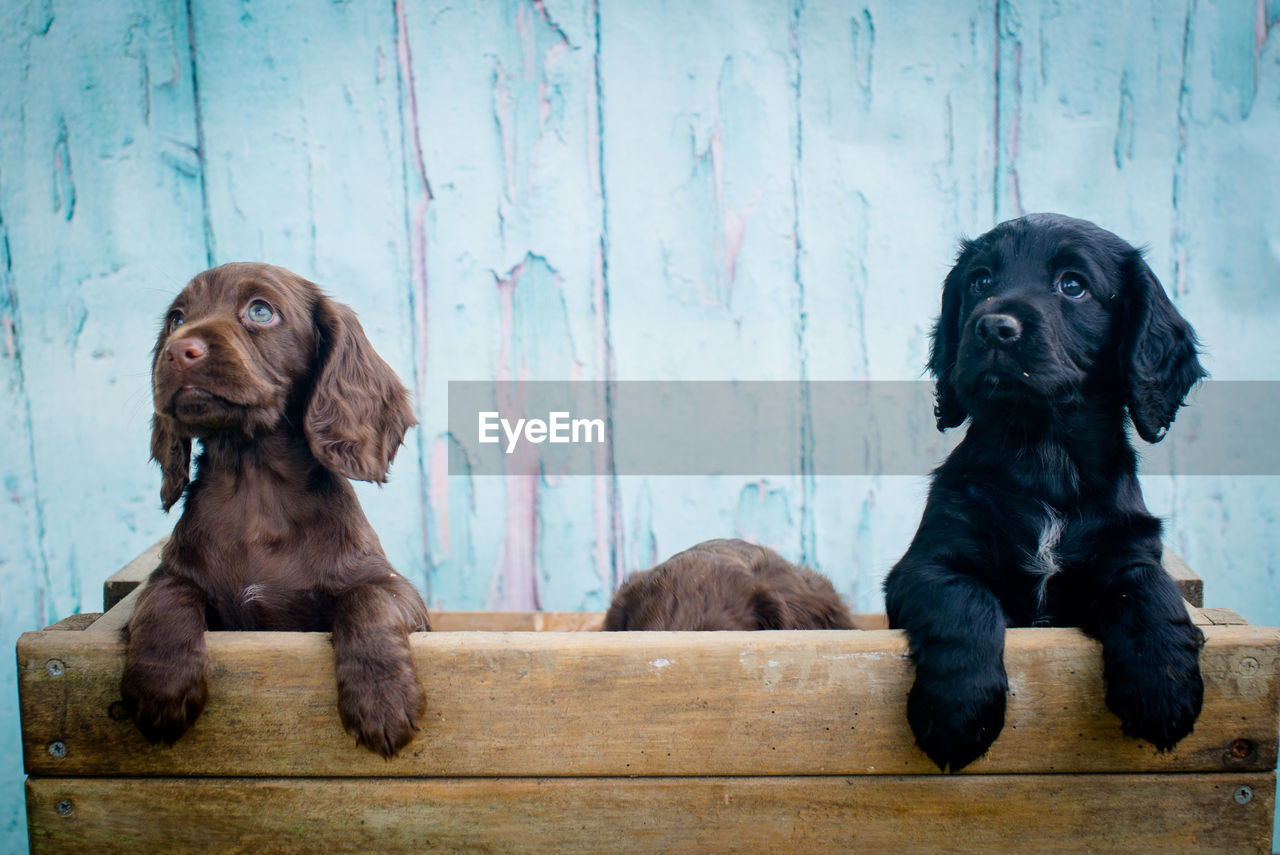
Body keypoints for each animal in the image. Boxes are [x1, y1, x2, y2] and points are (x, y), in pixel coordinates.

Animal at [122, 263, 430, 757]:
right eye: (176, 318)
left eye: (260, 311)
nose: (176, 352)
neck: (257, 493)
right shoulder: (169, 577)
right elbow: (165, 598)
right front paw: (161, 687)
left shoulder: (395, 589)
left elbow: (367, 599)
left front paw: (382, 699)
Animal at [885, 213, 1203, 773]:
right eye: (980, 280)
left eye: (1072, 285)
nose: (993, 326)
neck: (1043, 457)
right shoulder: (925, 564)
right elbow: (965, 599)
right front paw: (959, 713)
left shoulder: (1127, 548)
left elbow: (1148, 587)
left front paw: (1165, 691)